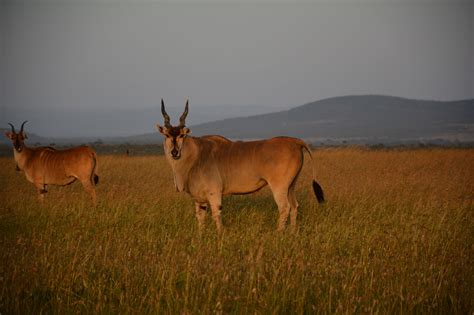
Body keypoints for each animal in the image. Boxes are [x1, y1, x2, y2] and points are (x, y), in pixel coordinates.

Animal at [157, 100, 324, 233]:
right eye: (167, 135)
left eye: (181, 135)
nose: (174, 152)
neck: (196, 154)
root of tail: (295, 142)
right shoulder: (199, 199)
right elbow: (200, 218)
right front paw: (200, 237)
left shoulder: (214, 194)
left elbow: (216, 215)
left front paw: (219, 237)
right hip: (291, 186)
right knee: (295, 206)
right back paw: (292, 233)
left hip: (279, 187)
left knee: (284, 208)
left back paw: (278, 234)